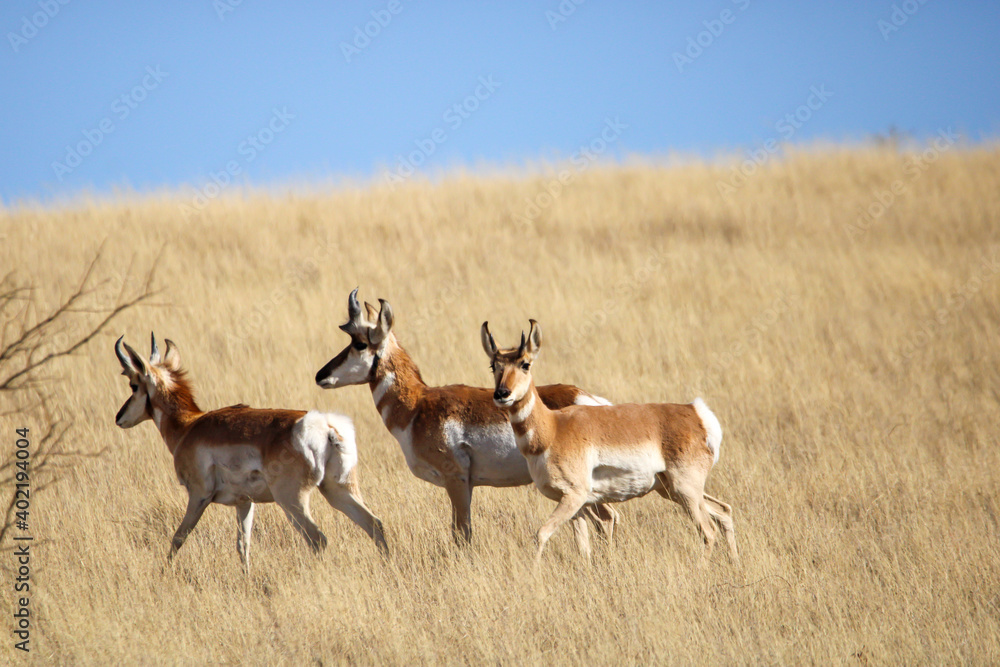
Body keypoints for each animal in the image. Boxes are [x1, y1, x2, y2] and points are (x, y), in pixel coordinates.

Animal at [114, 333, 387, 569]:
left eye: (133, 384)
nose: (119, 418)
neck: (189, 426)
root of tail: (324, 425)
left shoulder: (199, 496)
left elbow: (178, 538)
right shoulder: (244, 503)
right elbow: (243, 546)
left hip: (292, 501)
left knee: (318, 539)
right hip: (337, 490)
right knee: (374, 524)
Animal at [314, 289, 621, 547]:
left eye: (359, 343)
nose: (320, 375)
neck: (418, 405)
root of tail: (593, 401)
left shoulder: (457, 480)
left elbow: (461, 534)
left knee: (607, 517)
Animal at [481, 320, 739, 565]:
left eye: (525, 364)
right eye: (494, 365)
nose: (502, 394)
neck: (553, 428)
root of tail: (695, 412)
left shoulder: (574, 497)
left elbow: (541, 534)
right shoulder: (576, 505)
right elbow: (582, 546)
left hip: (686, 491)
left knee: (708, 531)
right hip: (672, 490)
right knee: (724, 510)